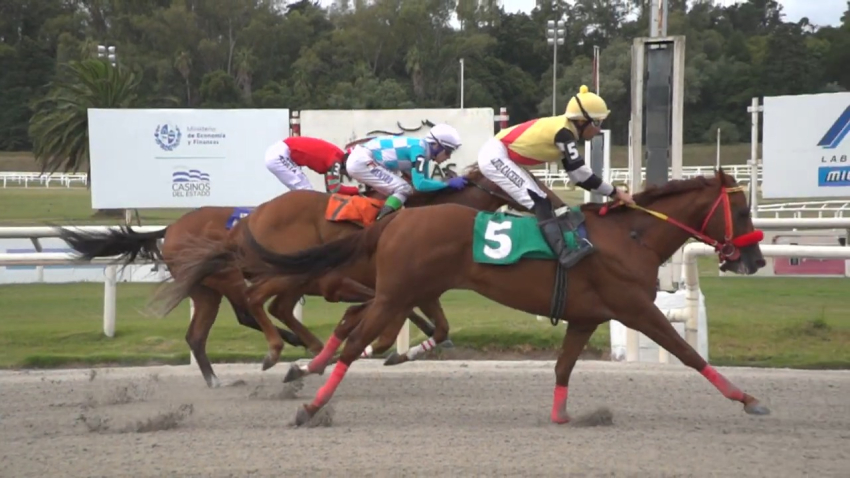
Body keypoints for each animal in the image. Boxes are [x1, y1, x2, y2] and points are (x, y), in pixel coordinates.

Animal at [138, 165, 557, 378]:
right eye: (522, 179)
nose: (551, 200)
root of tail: (249, 219)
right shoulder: (382, 286)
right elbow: (387, 323)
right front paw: (367, 347)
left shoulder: (420, 289)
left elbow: (436, 327)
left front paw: (394, 352)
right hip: (280, 272)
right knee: (256, 304)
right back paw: (279, 351)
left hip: (241, 284)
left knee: (257, 313)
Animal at [234, 168, 771, 426]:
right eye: (743, 212)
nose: (755, 260)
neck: (631, 236)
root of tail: (394, 220)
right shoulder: (636, 308)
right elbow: (687, 354)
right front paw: (748, 399)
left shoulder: (586, 317)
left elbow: (563, 367)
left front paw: (563, 416)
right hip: (395, 293)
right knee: (348, 340)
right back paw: (309, 401)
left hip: (408, 291)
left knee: (346, 326)